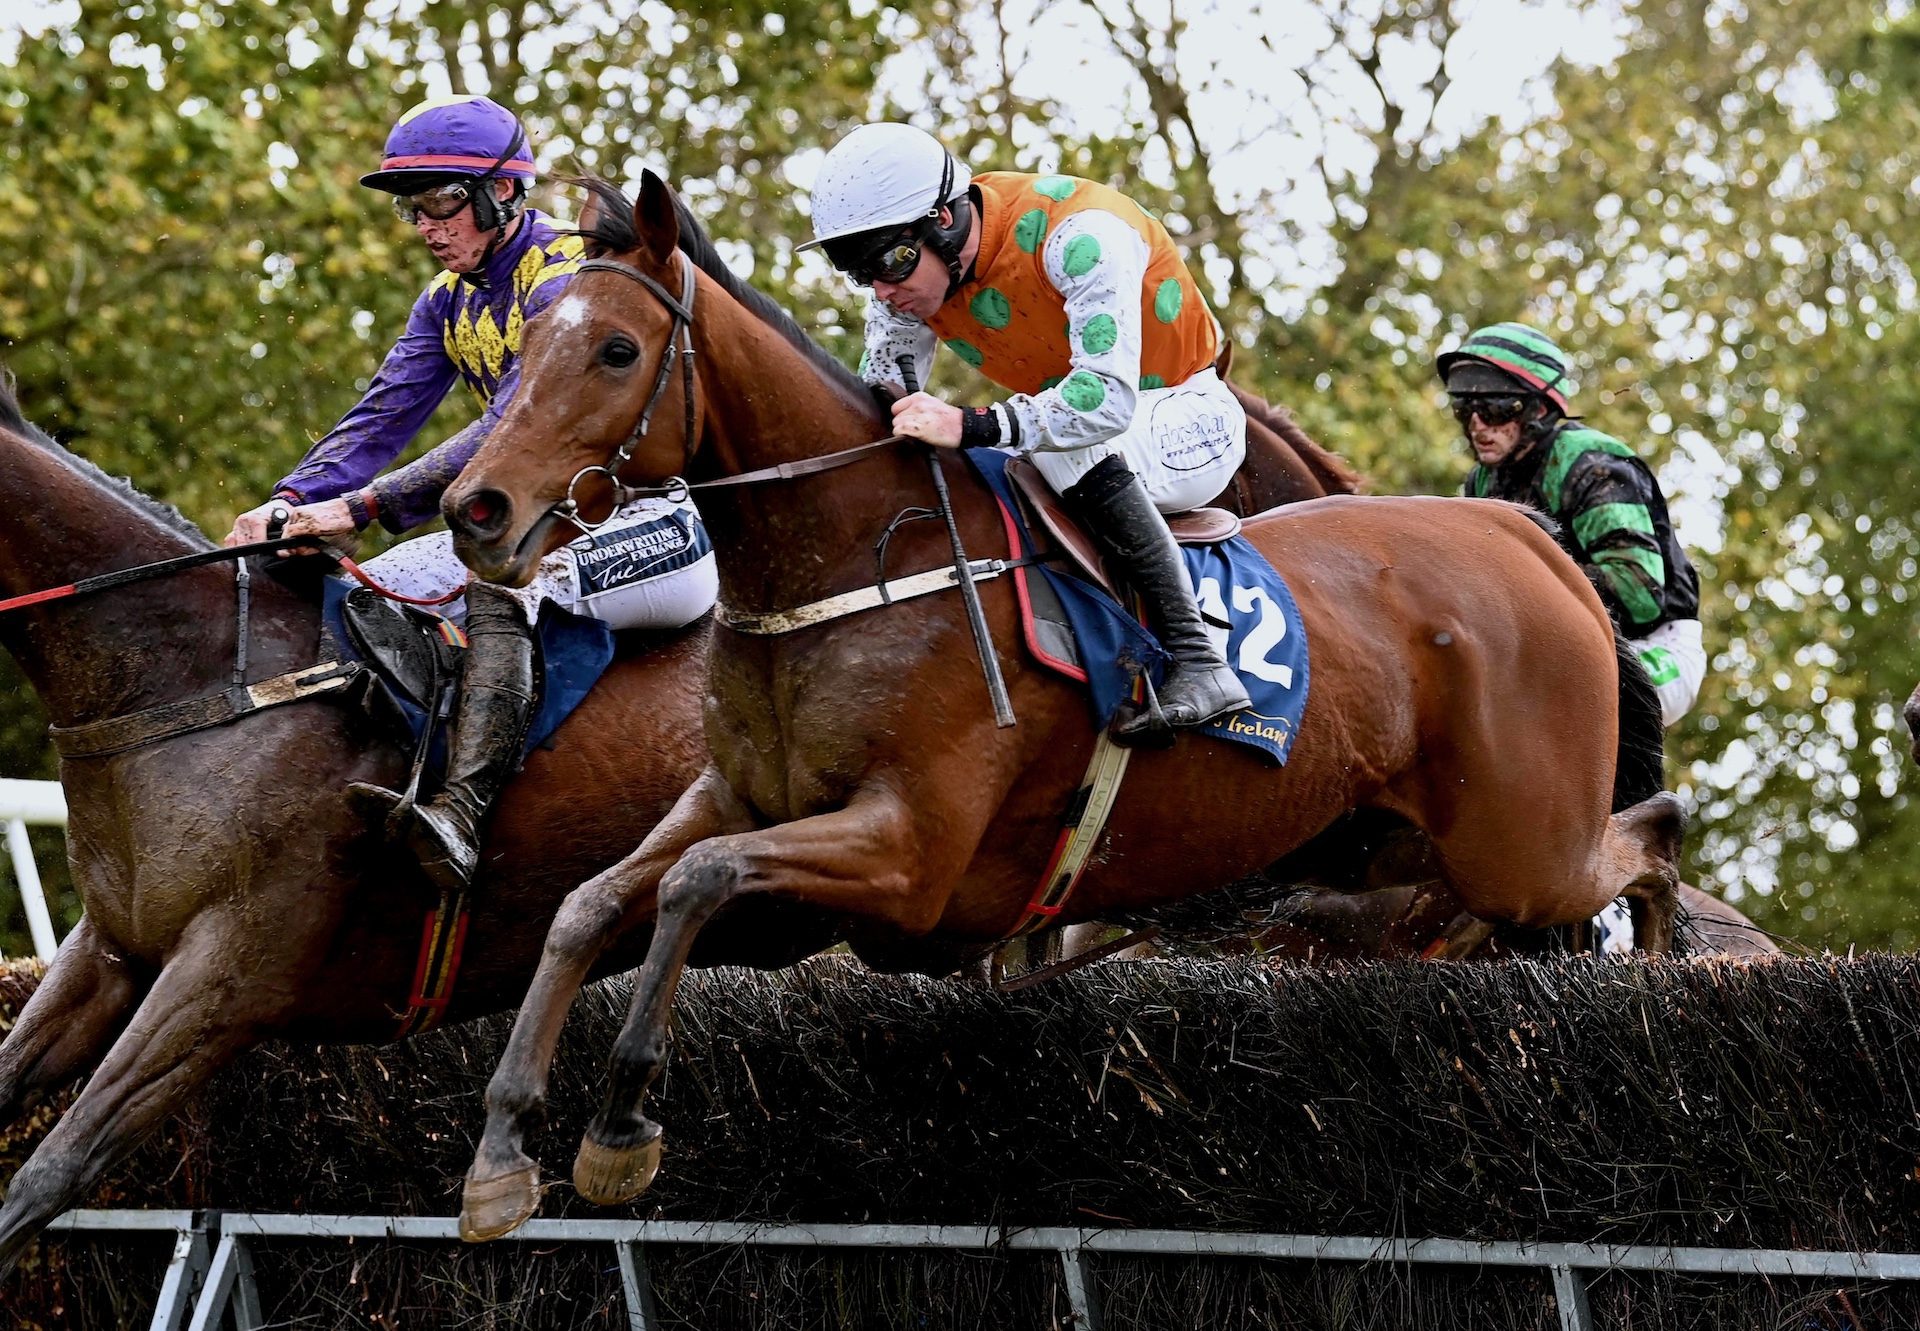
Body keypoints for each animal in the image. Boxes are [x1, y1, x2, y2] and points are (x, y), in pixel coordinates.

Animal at [441, 173, 1689, 1236]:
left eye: (615, 348)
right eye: (521, 349)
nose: (475, 509)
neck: (851, 558)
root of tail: (1525, 537)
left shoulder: (912, 854)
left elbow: (695, 885)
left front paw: (619, 1124)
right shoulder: (735, 798)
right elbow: (593, 903)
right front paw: (501, 1151)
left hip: (1519, 841)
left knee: (1654, 836)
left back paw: (1666, 990)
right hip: (1383, 849)